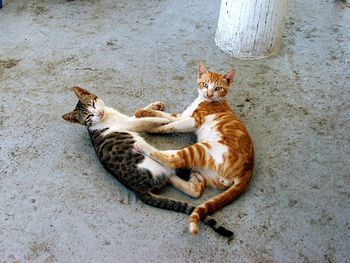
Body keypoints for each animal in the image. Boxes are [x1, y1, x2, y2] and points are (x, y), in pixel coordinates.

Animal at [61, 87, 234, 239]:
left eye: (94, 104)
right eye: (89, 116)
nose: (99, 113)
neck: (105, 117)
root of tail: (139, 189)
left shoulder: (128, 118)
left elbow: (140, 113)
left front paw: (154, 106)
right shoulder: (129, 124)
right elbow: (146, 120)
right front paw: (161, 119)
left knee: (190, 189)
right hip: (158, 163)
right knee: (181, 170)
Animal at [134, 62, 254, 237]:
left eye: (218, 88)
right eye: (204, 84)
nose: (209, 94)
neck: (203, 101)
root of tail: (248, 170)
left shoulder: (192, 120)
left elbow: (169, 126)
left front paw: (152, 126)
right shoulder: (183, 116)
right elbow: (165, 115)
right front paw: (144, 112)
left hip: (202, 148)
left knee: (173, 159)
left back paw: (143, 147)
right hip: (202, 169)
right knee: (195, 191)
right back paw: (172, 178)